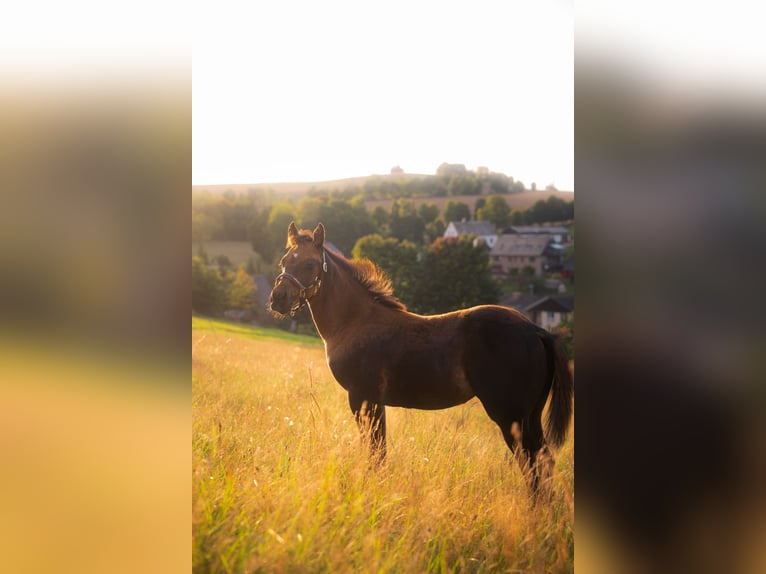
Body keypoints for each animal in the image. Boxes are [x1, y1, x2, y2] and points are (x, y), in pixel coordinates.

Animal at [268, 222, 573, 496]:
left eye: (310, 264)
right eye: (284, 261)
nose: (278, 299)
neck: (355, 321)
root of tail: (536, 330)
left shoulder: (361, 398)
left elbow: (373, 450)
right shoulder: (376, 402)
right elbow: (379, 450)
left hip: (511, 416)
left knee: (532, 465)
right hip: (530, 416)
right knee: (543, 461)